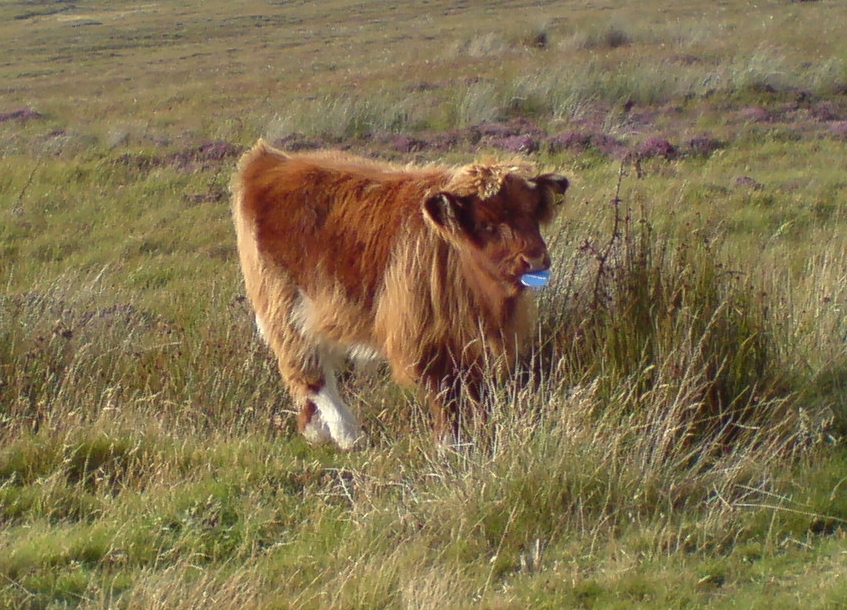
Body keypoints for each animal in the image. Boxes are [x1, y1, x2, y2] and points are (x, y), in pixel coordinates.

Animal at [230, 141, 568, 446]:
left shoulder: (472, 339)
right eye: (486, 224)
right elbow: (443, 393)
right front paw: (450, 443)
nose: (535, 259)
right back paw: (347, 435)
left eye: (532, 215)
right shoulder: (425, 336)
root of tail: (270, 159)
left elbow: (472, 389)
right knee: (310, 373)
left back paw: (315, 431)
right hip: (282, 308)